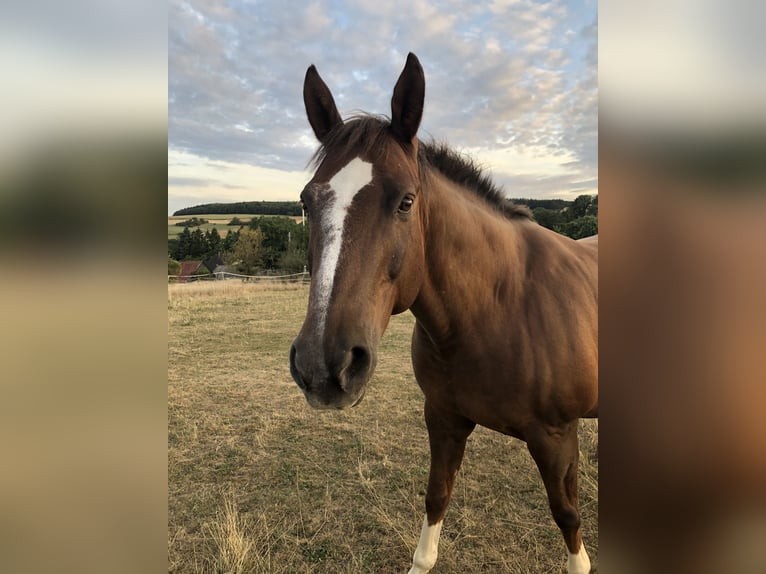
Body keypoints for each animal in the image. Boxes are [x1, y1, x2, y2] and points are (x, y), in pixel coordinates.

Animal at [289, 52, 598, 574]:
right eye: (307, 202)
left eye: (406, 201)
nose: (324, 367)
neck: (498, 307)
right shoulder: (444, 420)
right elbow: (435, 504)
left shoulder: (557, 439)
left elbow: (568, 519)